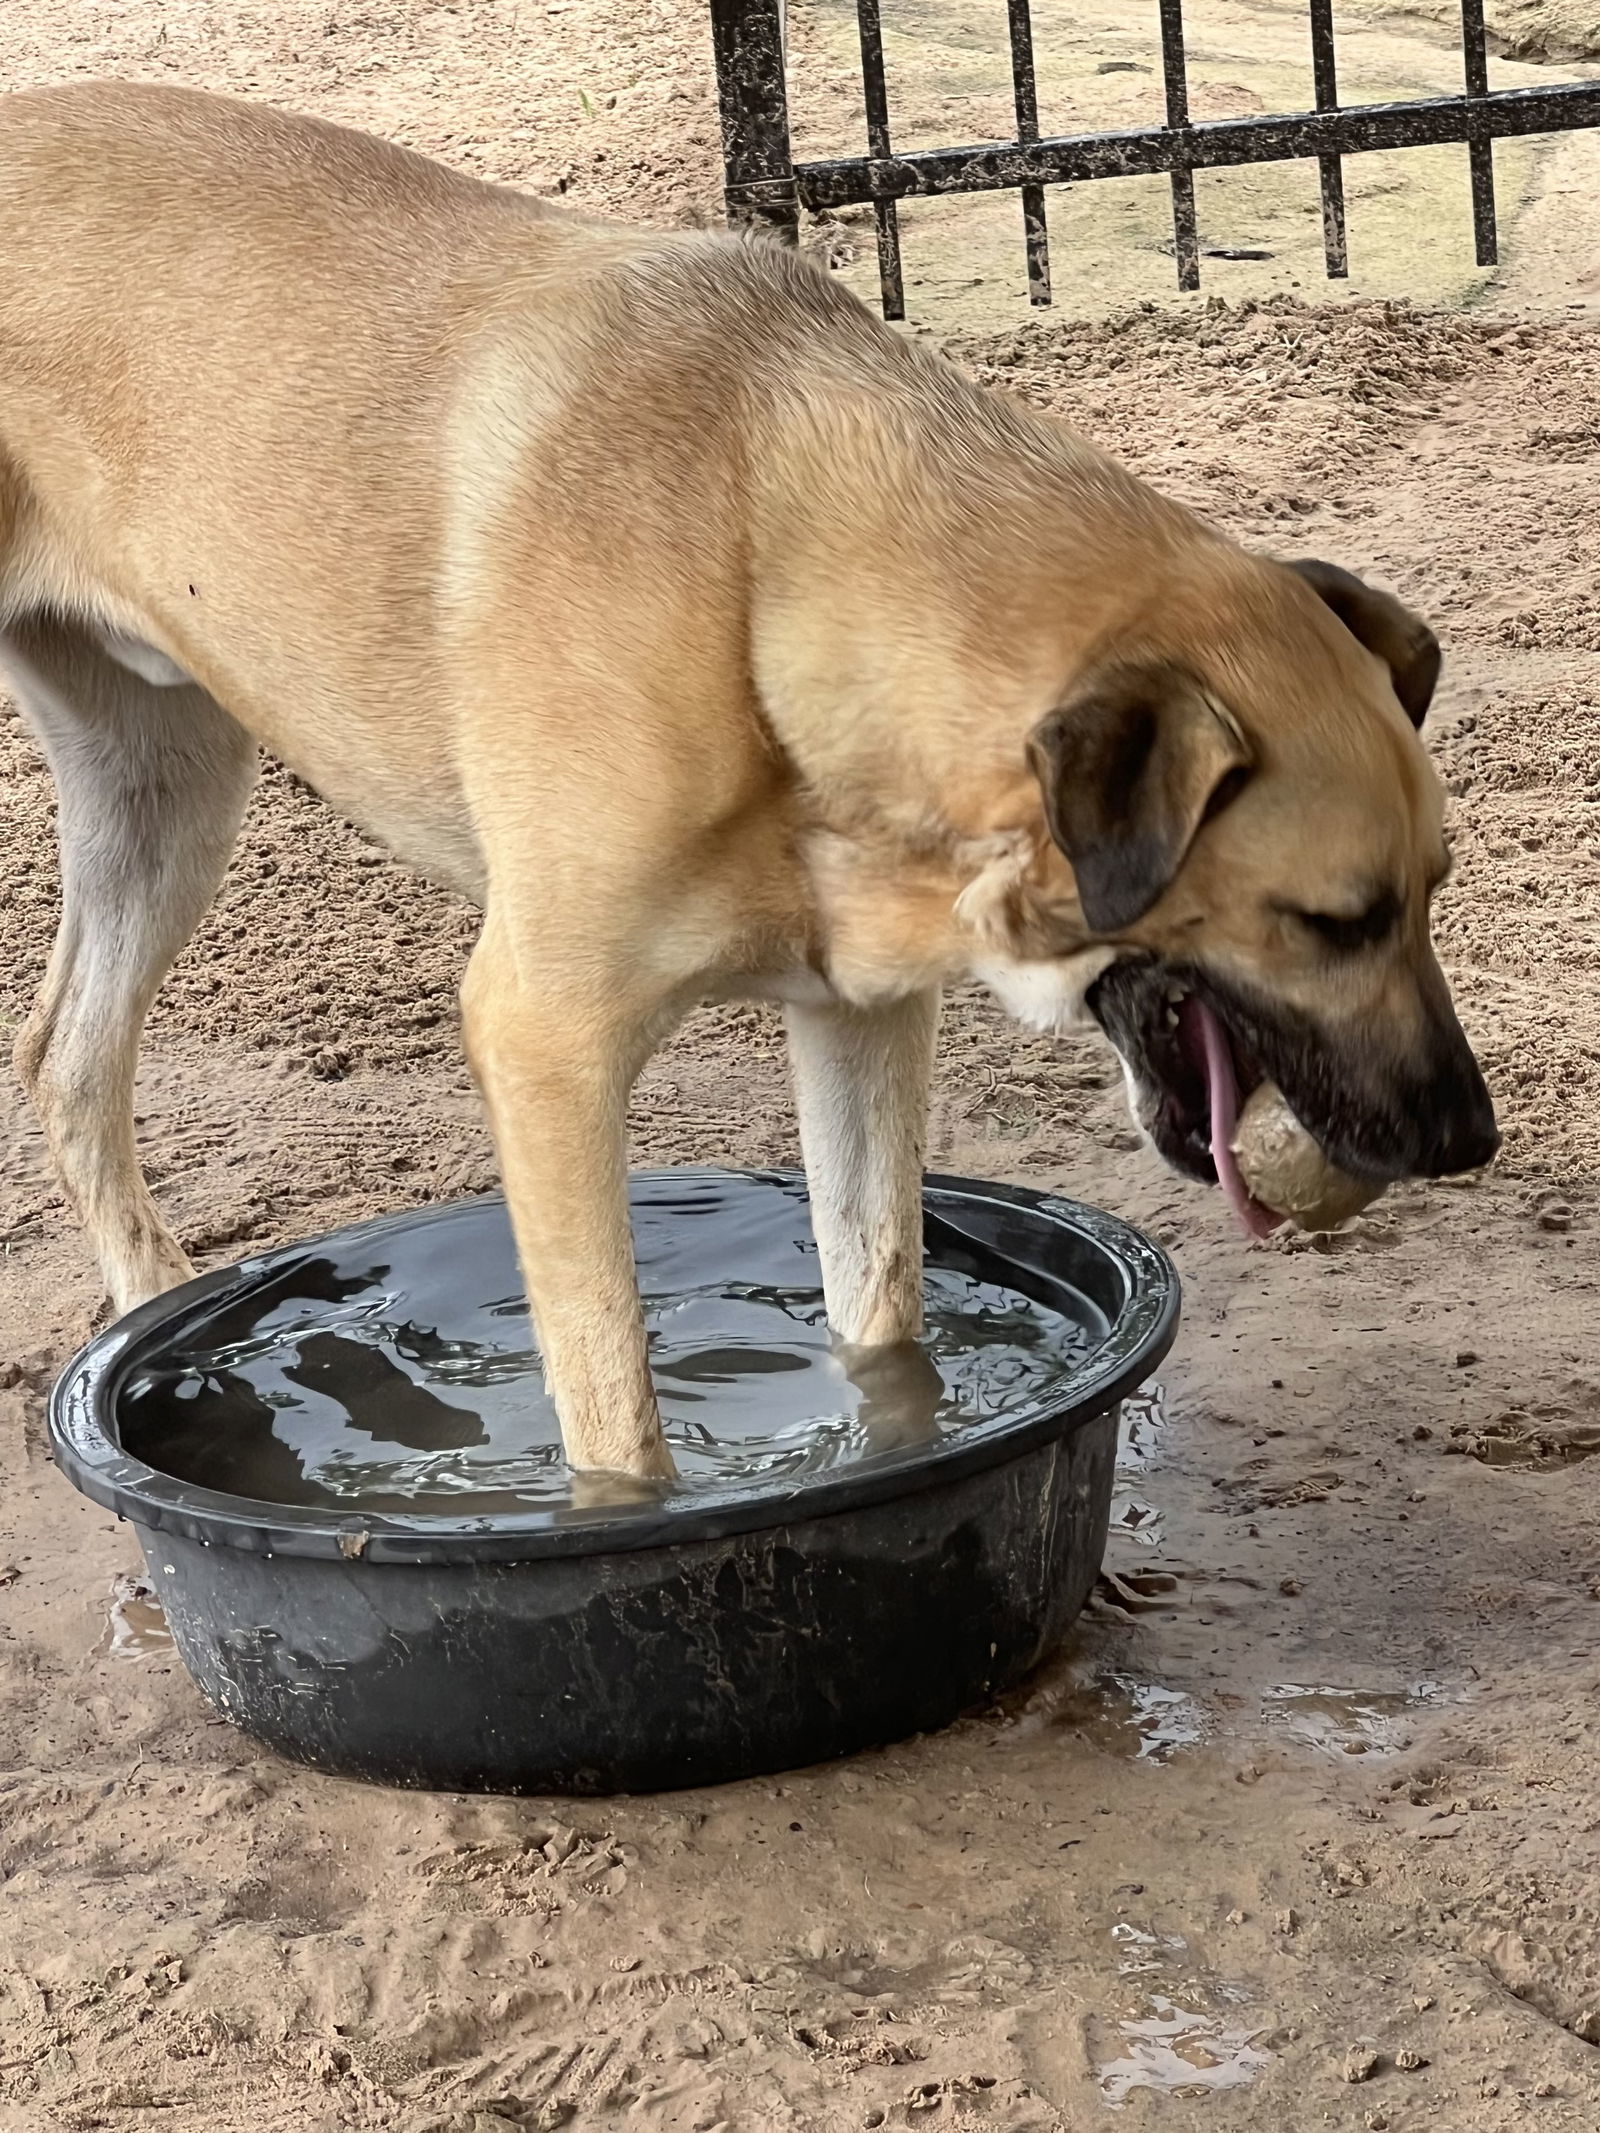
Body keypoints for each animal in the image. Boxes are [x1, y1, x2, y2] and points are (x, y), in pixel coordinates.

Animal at [0, 87, 1501, 1484]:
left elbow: (877, 1307)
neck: (765, 564)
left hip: (164, 789)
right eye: (1333, 921)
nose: (1469, 1137)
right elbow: (616, 1419)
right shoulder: (547, 1043)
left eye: (1434, 892)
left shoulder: (859, 1019)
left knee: (68, 1058)